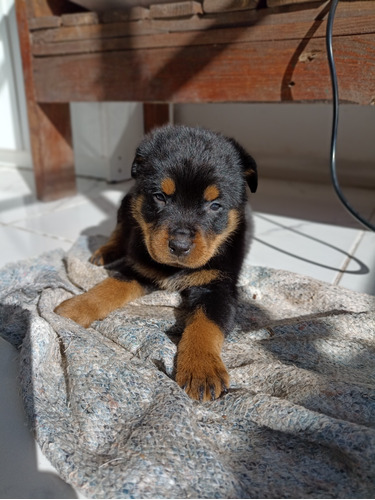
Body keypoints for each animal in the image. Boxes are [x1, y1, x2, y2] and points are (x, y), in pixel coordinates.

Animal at [55, 125, 258, 402]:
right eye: (160, 197)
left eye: (215, 205)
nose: (180, 246)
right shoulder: (139, 268)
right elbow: (107, 288)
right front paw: (74, 308)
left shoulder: (218, 287)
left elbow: (205, 324)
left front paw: (201, 369)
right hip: (127, 202)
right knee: (121, 227)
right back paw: (105, 252)